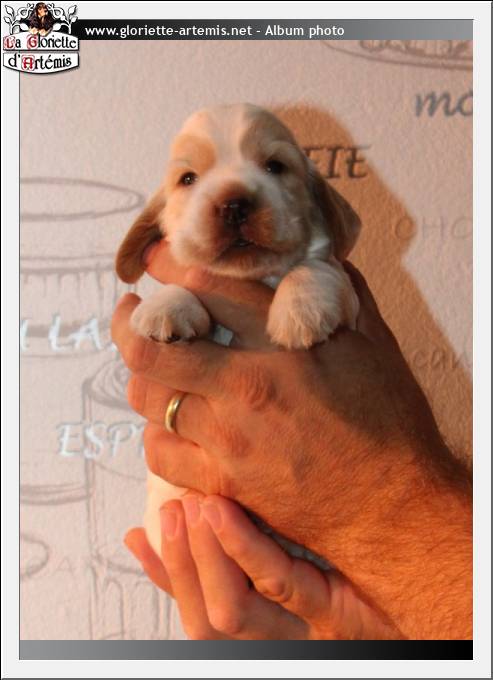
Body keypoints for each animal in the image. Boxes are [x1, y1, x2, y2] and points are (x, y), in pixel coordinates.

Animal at [116, 103, 361, 565]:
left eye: (275, 166)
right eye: (187, 179)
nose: (233, 204)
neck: (251, 276)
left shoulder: (347, 291)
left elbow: (315, 267)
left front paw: (299, 311)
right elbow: (185, 281)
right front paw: (165, 308)